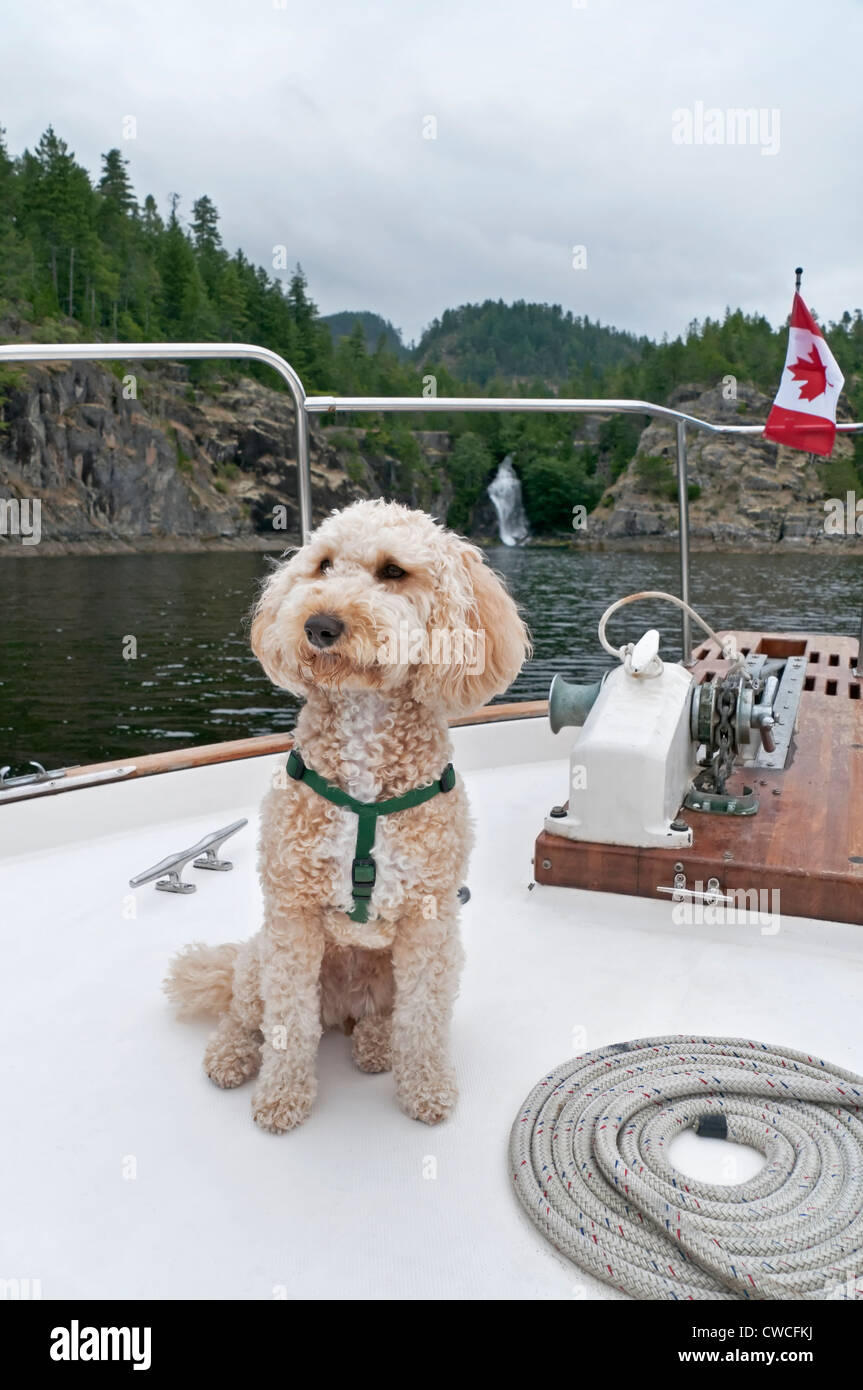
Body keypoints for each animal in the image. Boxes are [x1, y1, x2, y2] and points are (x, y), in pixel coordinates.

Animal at [161, 500, 525, 1128]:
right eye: (323, 564)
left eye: (394, 572)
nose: (320, 625)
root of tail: (343, 1007)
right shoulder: (291, 918)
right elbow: (286, 1023)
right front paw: (281, 1099)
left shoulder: (430, 923)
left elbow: (424, 1021)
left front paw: (426, 1089)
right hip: (258, 956)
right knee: (244, 1009)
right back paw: (231, 1054)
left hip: (405, 969)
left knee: (385, 1017)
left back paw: (376, 1044)